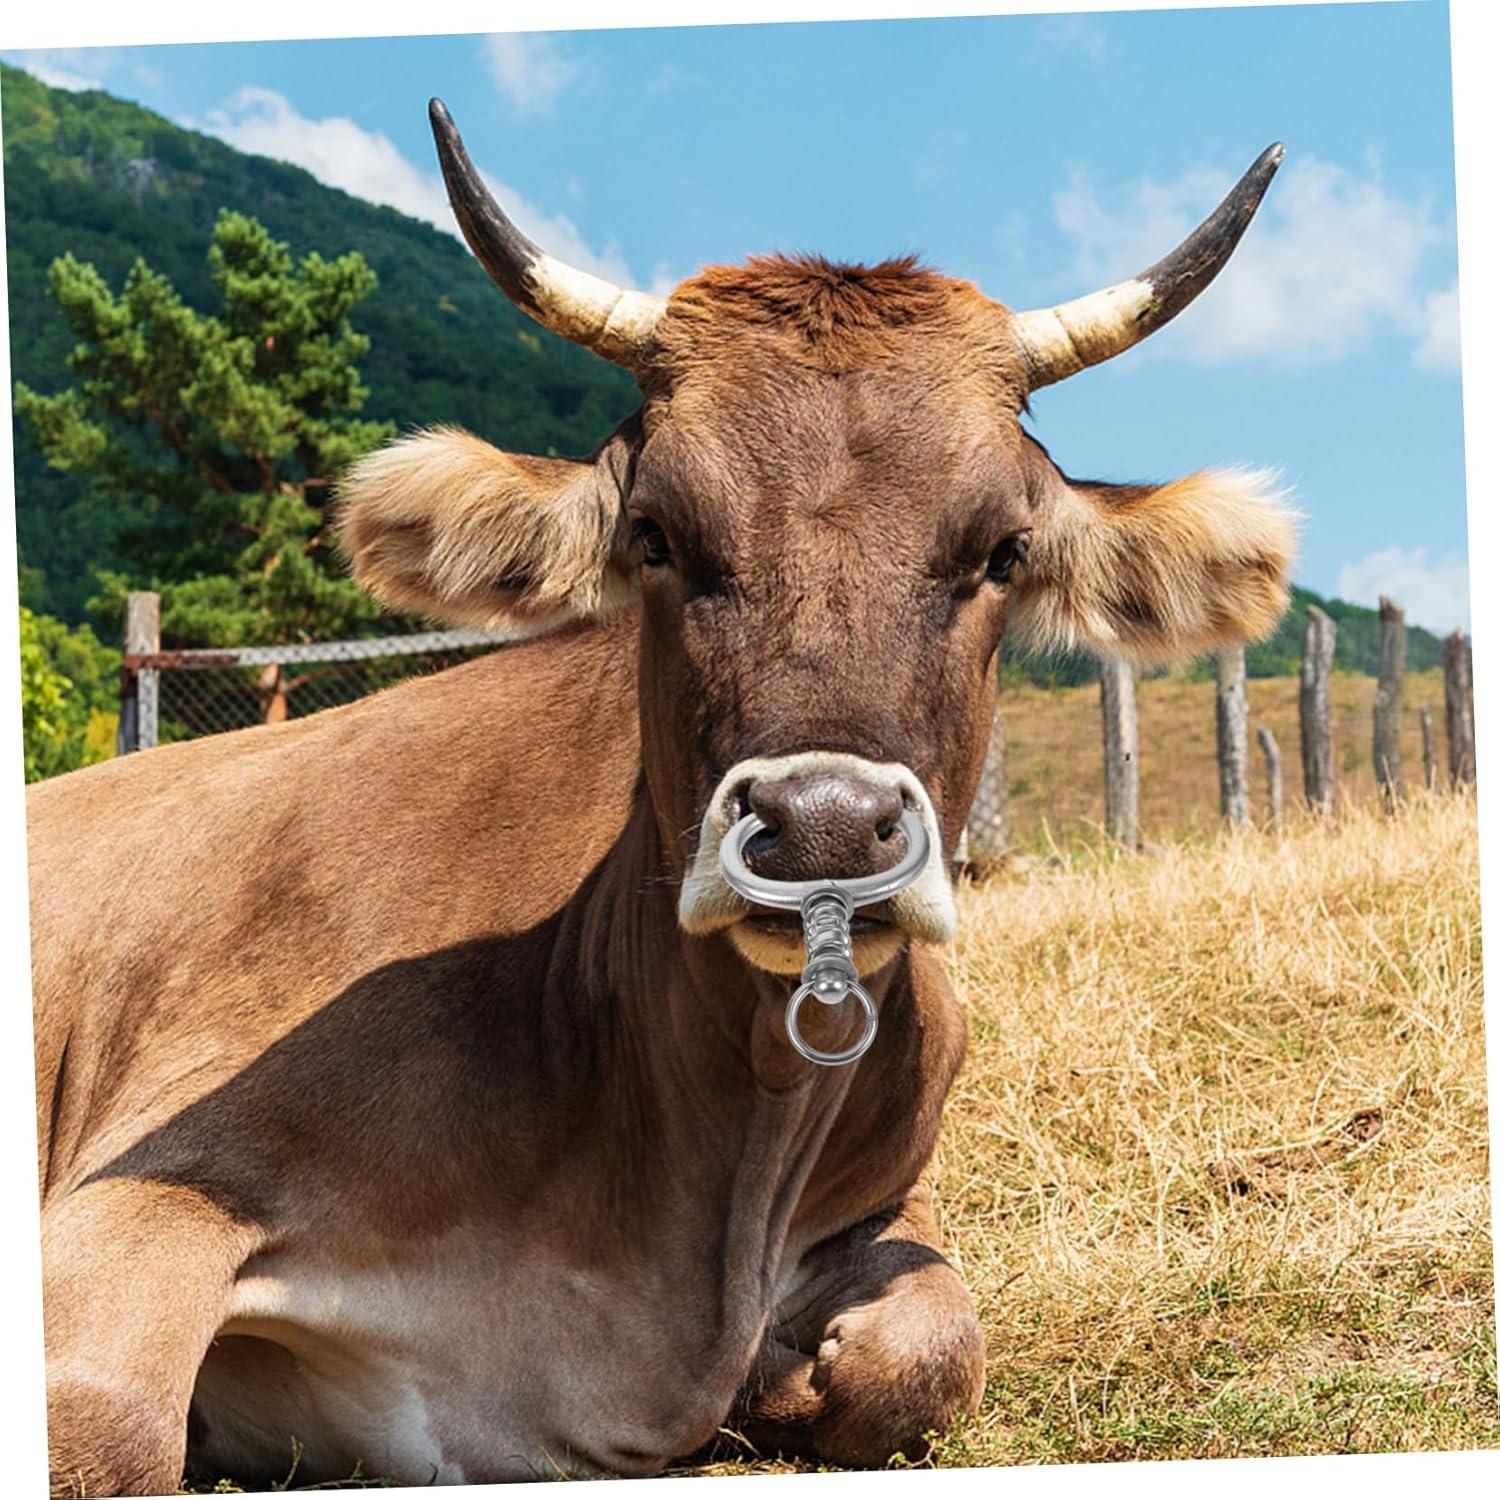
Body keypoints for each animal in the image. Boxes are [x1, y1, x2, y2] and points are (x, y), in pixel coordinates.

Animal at [28, 99, 1295, 1497]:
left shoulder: (892, 1198)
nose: (825, 826)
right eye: (656, 537)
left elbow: (929, 1353)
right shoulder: (158, 1183)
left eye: (1002, 552)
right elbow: (106, 1428)